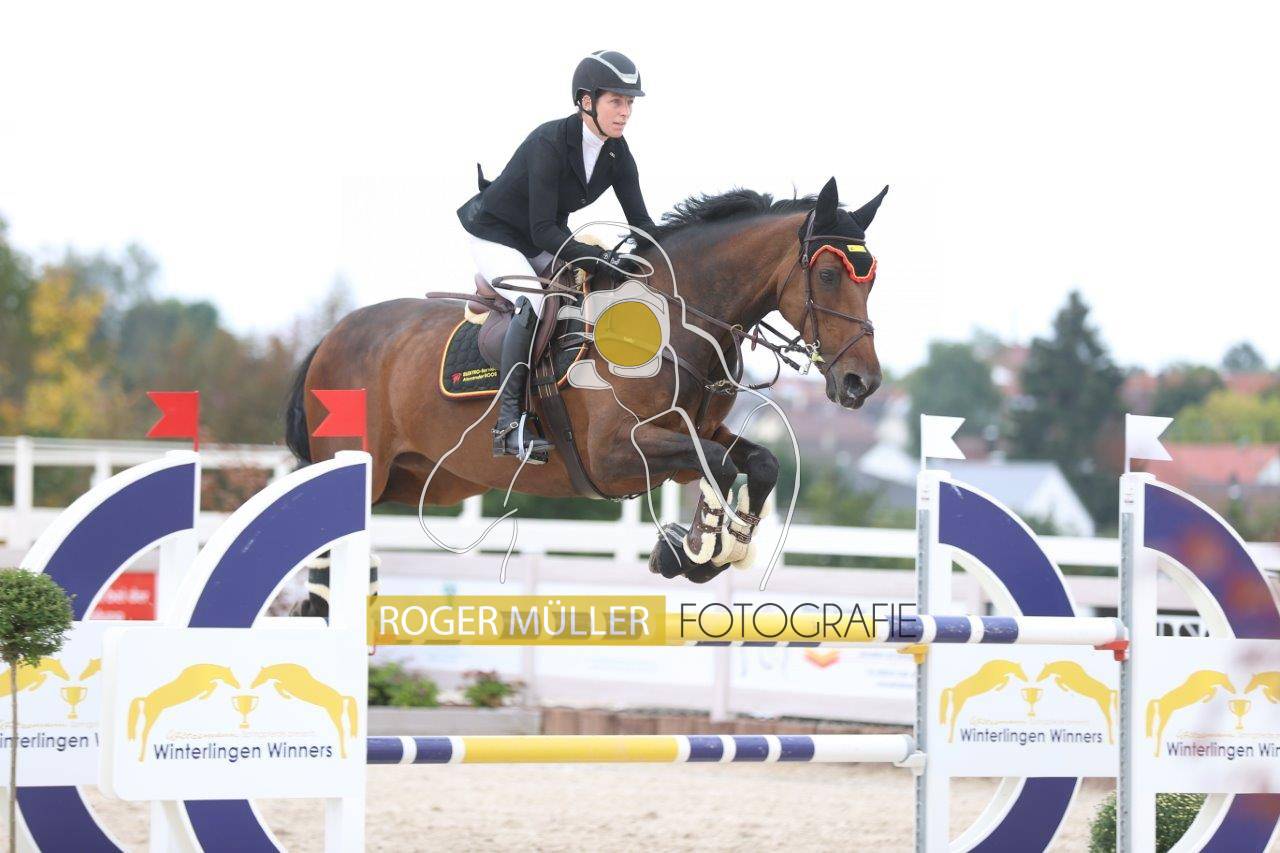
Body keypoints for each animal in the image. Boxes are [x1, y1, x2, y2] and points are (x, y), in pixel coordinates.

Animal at [284, 177, 887, 611]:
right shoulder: (614, 454)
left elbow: (758, 462)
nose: (862, 384)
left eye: (872, 279)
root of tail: (329, 339)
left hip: (423, 481)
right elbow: (717, 462)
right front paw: (693, 548)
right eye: (828, 275)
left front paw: (707, 553)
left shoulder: (691, 436)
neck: (671, 326)